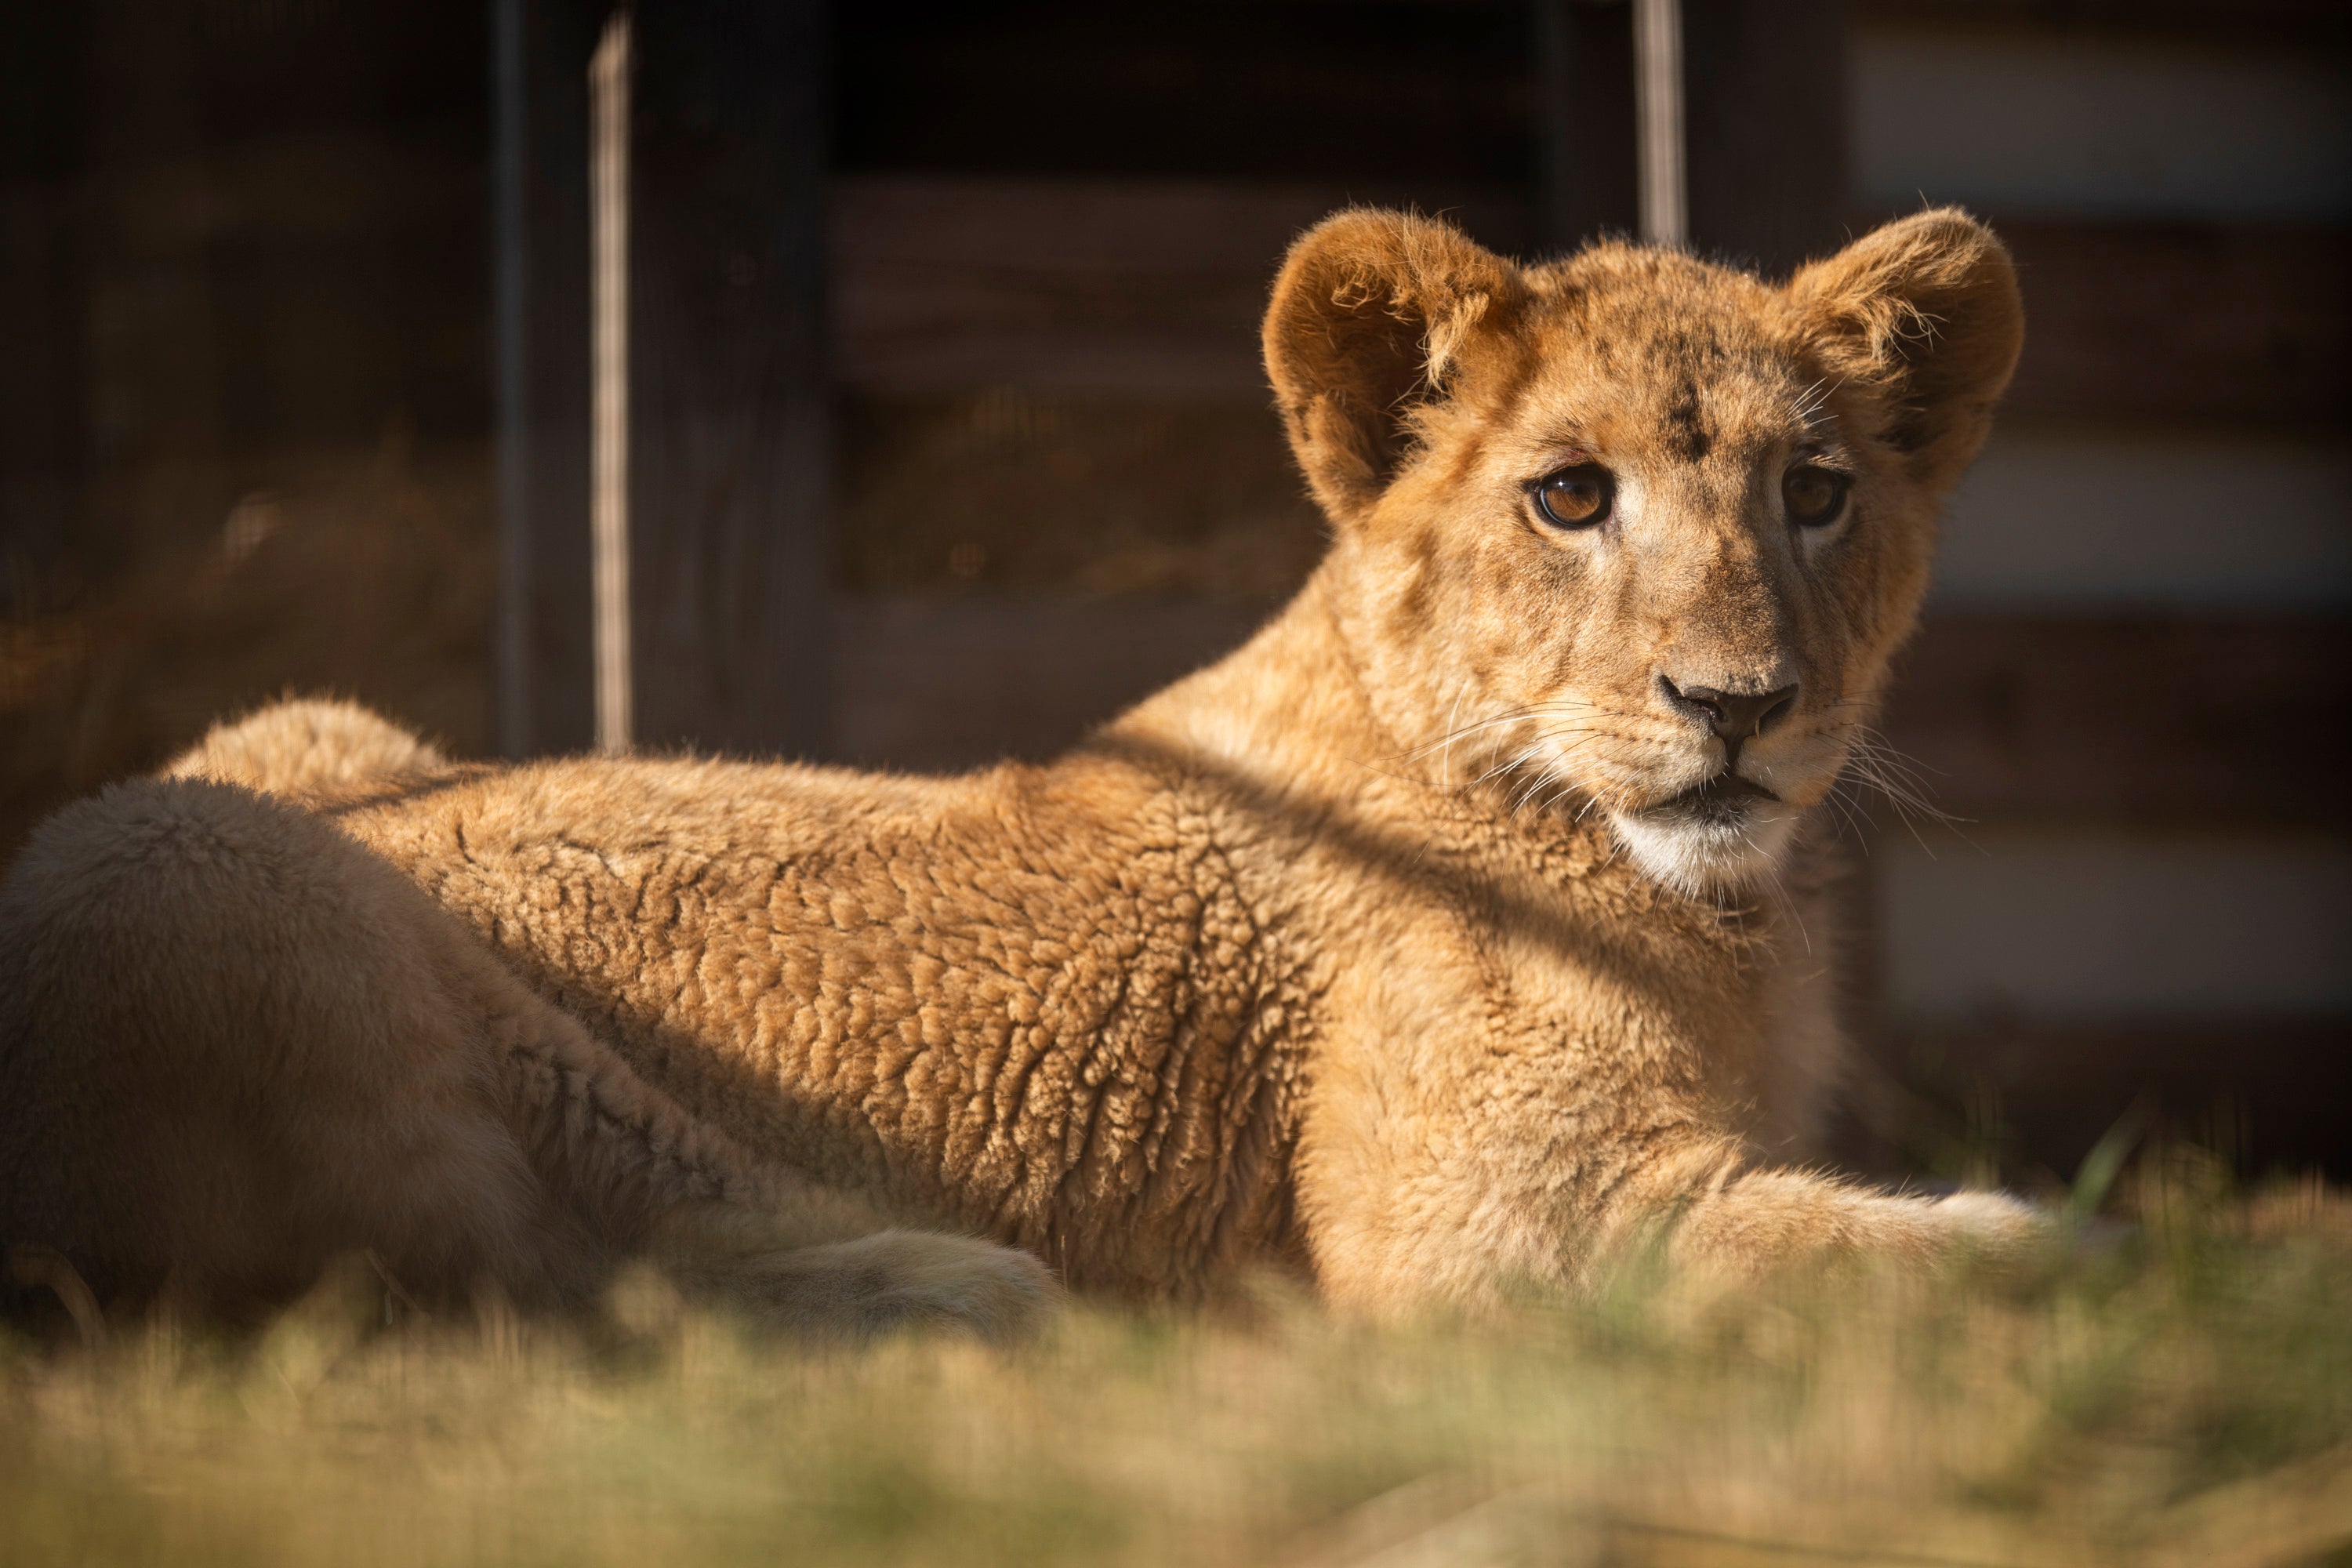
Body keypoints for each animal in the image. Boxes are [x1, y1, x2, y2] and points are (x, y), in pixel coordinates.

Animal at [0, 206, 2037, 1337]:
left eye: (1814, 492)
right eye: (1567, 494)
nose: (1738, 702)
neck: (1729, 916)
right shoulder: (1483, 1221)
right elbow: (1938, 1259)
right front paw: (2078, 1258)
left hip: (297, 732)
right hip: (224, 867)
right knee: (510, 1293)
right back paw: (954, 1294)